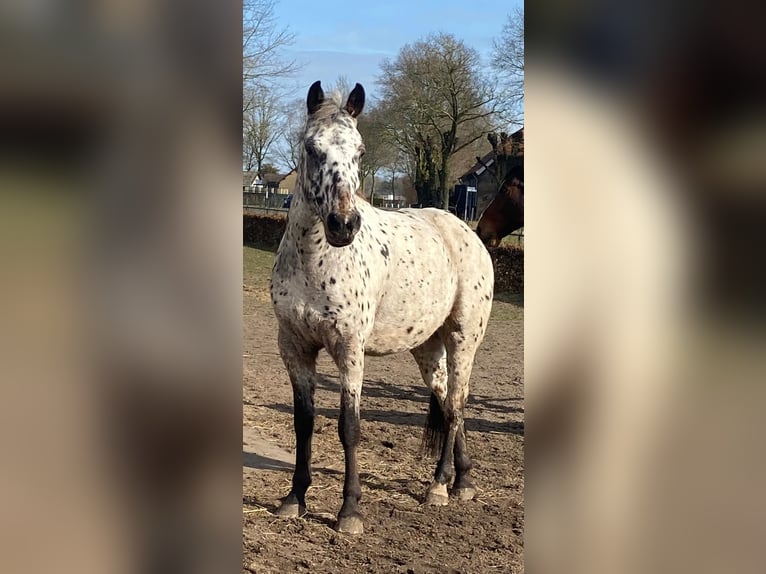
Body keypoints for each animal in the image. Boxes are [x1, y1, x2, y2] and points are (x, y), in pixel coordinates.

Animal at [272, 80, 496, 536]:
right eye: (311, 148)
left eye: (359, 151)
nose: (344, 225)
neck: (313, 262)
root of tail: (467, 232)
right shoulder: (295, 347)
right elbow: (304, 421)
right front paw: (294, 498)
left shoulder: (349, 350)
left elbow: (349, 427)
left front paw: (350, 512)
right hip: (427, 349)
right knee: (450, 403)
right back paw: (461, 480)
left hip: (463, 340)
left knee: (458, 404)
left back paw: (439, 487)